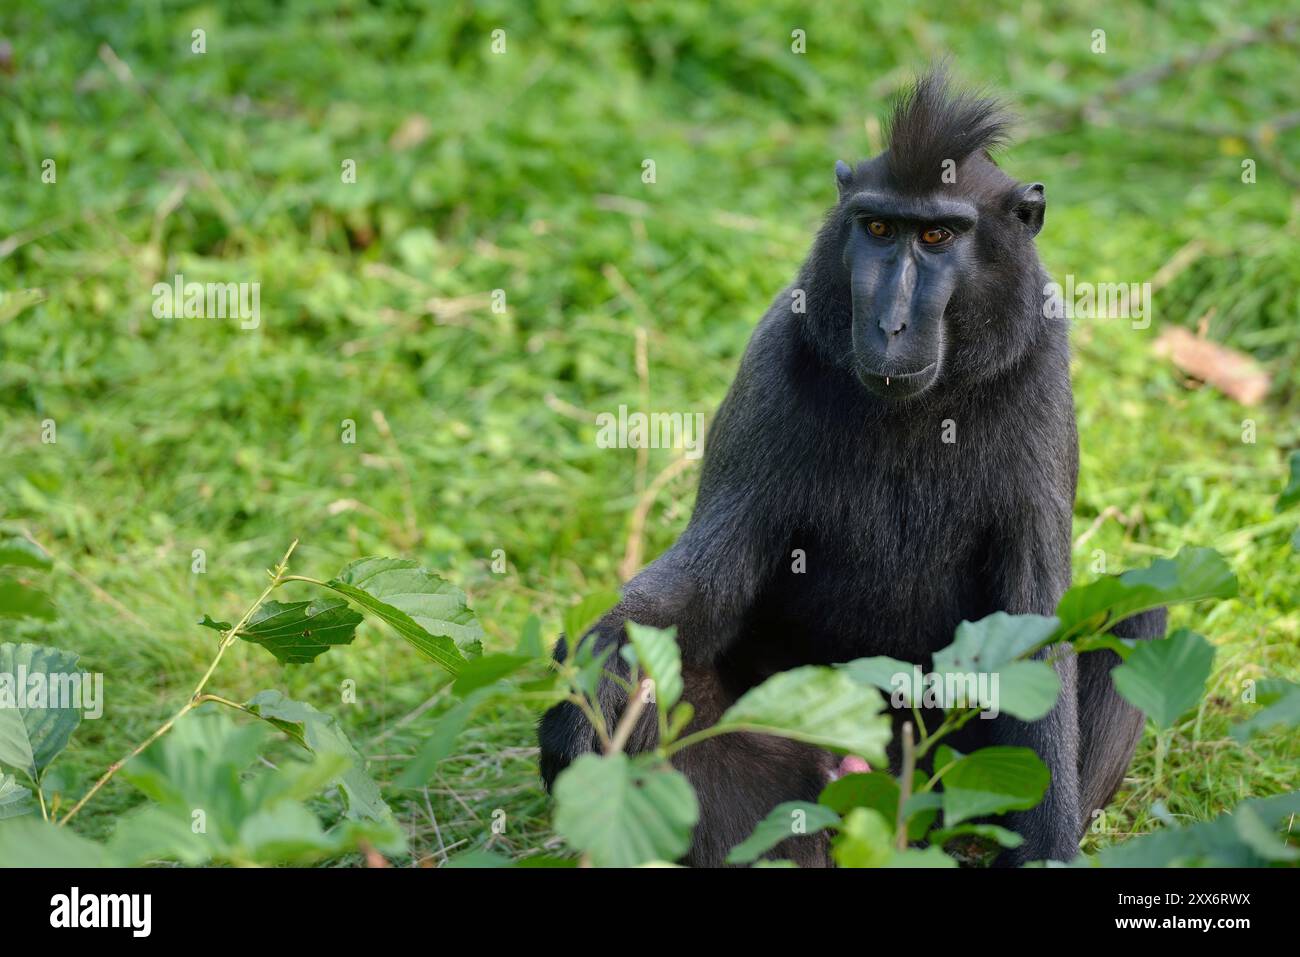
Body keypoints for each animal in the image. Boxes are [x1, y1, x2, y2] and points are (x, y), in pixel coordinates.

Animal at [539, 69, 1166, 867]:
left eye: (937, 235)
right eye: (876, 229)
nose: (889, 325)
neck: (920, 409)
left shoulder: (1040, 369)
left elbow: (1033, 633)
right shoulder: (776, 353)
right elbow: (698, 589)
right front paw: (584, 692)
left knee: (1135, 619)